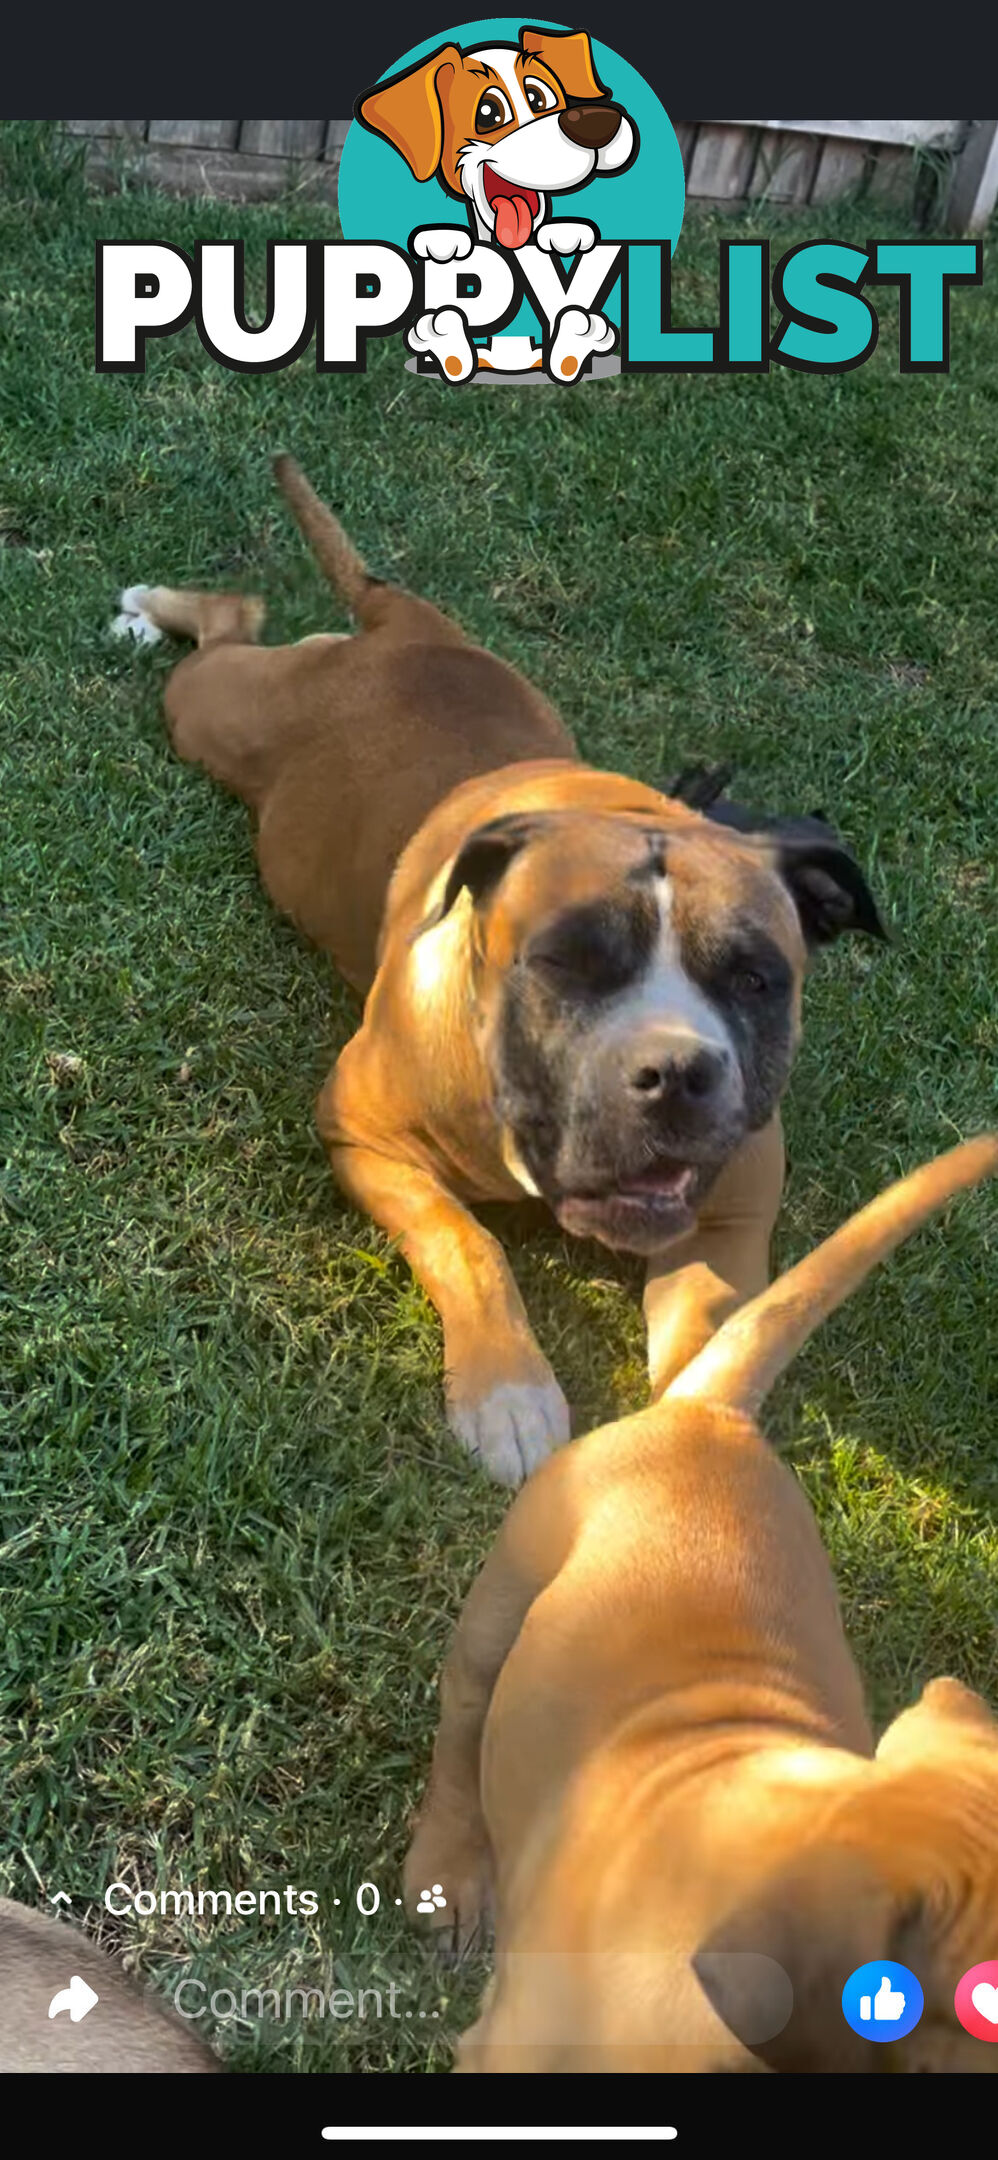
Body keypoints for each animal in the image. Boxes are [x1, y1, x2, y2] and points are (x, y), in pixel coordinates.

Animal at [115, 460, 881, 1486]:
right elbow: (467, 1243)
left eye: (755, 980)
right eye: (565, 961)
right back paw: (148, 609)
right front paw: (508, 1394)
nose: (676, 1072)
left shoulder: (738, 1197)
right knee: (230, 620)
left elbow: (708, 1324)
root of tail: (405, 628)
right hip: (212, 710)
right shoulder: (364, 1139)